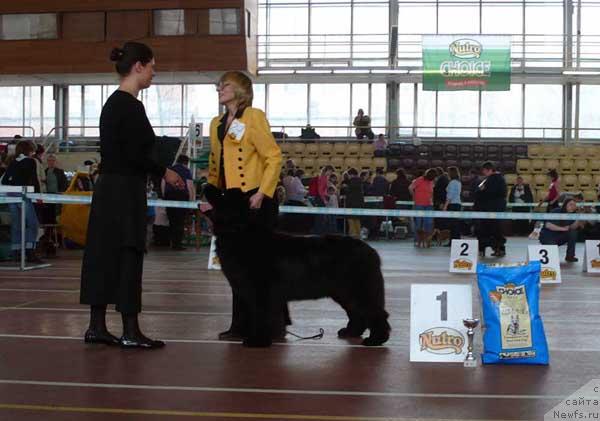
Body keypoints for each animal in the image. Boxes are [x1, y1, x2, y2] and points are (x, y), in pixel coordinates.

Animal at [204, 185, 392, 346]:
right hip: (345, 292)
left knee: (375, 312)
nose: (206, 185)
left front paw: (257, 341)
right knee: (358, 312)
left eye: (222, 194)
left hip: (359, 290)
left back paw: (375, 340)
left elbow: (261, 316)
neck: (239, 231)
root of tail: (372, 252)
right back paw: (350, 332)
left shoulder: (261, 292)